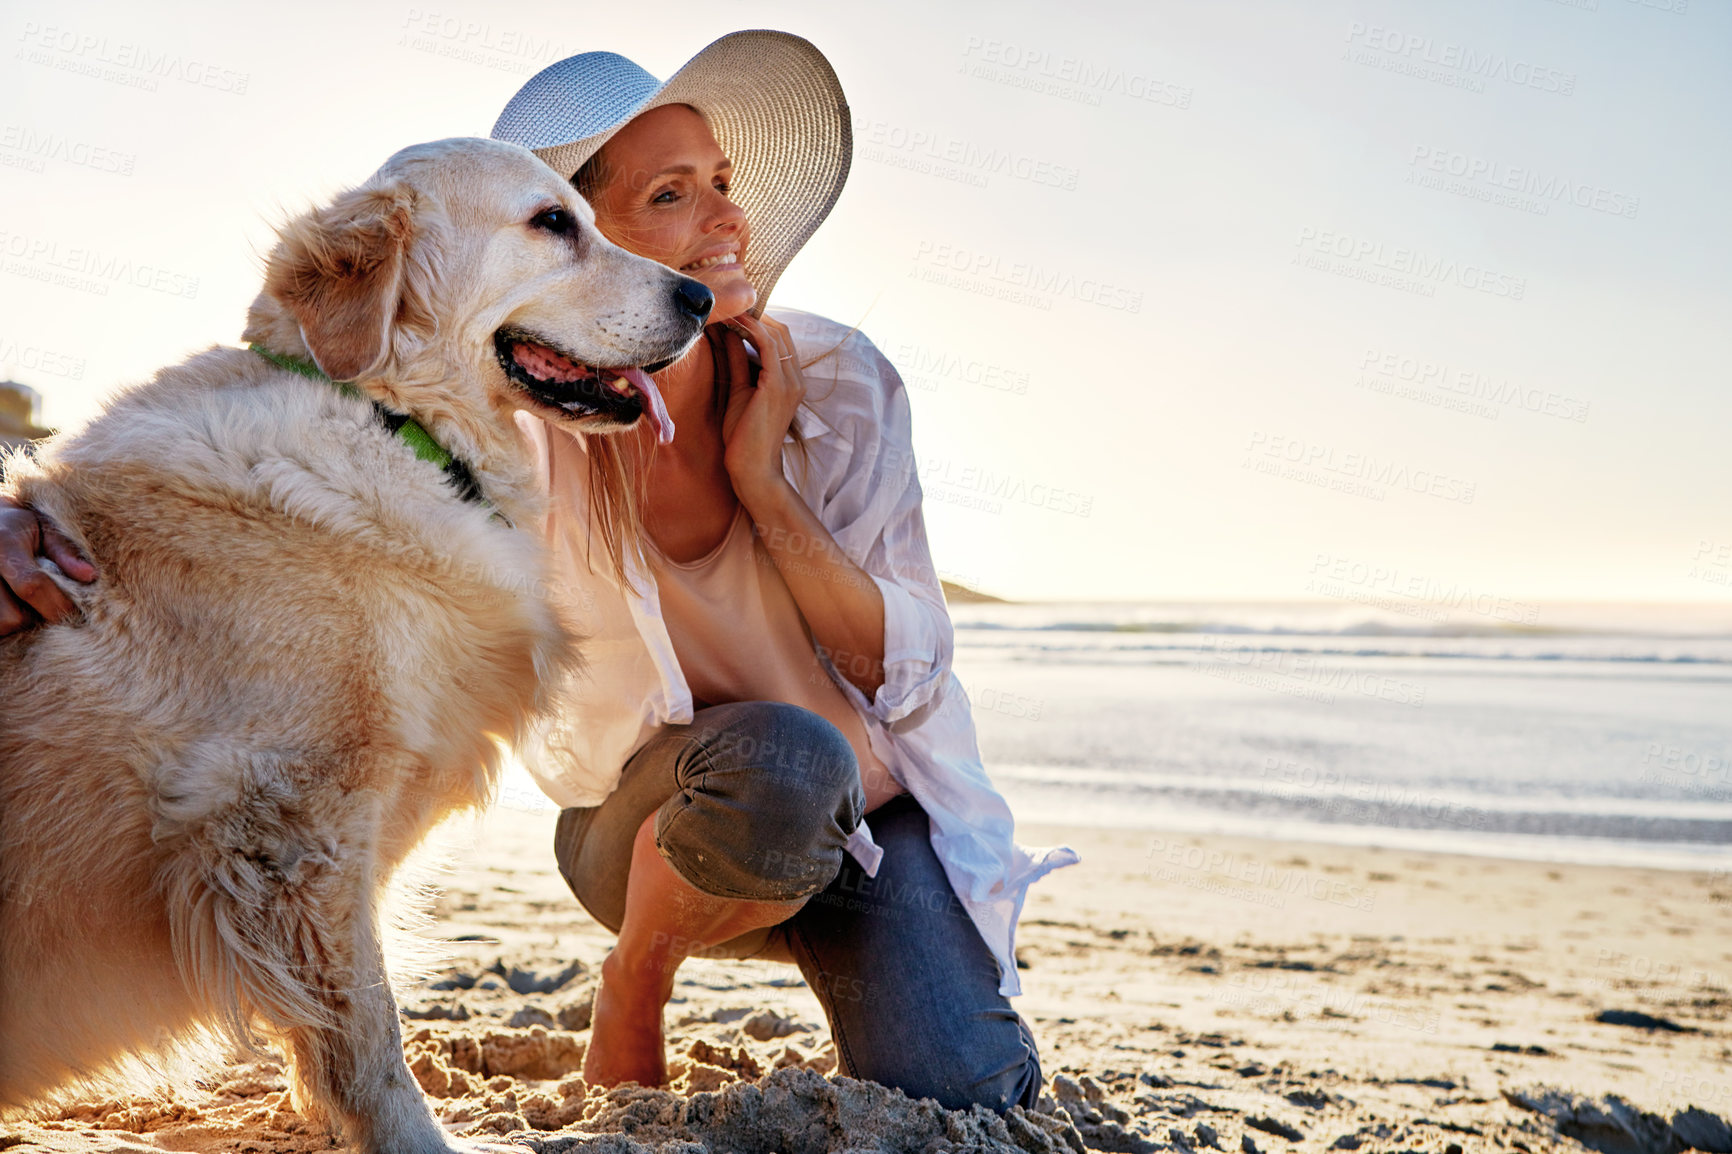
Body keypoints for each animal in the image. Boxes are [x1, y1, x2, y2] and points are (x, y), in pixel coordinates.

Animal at [0, 136, 713, 1150]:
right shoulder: (294, 818)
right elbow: (368, 1030)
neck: (396, 422)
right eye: (553, 223)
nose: (703, 299)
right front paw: (423, 1139)